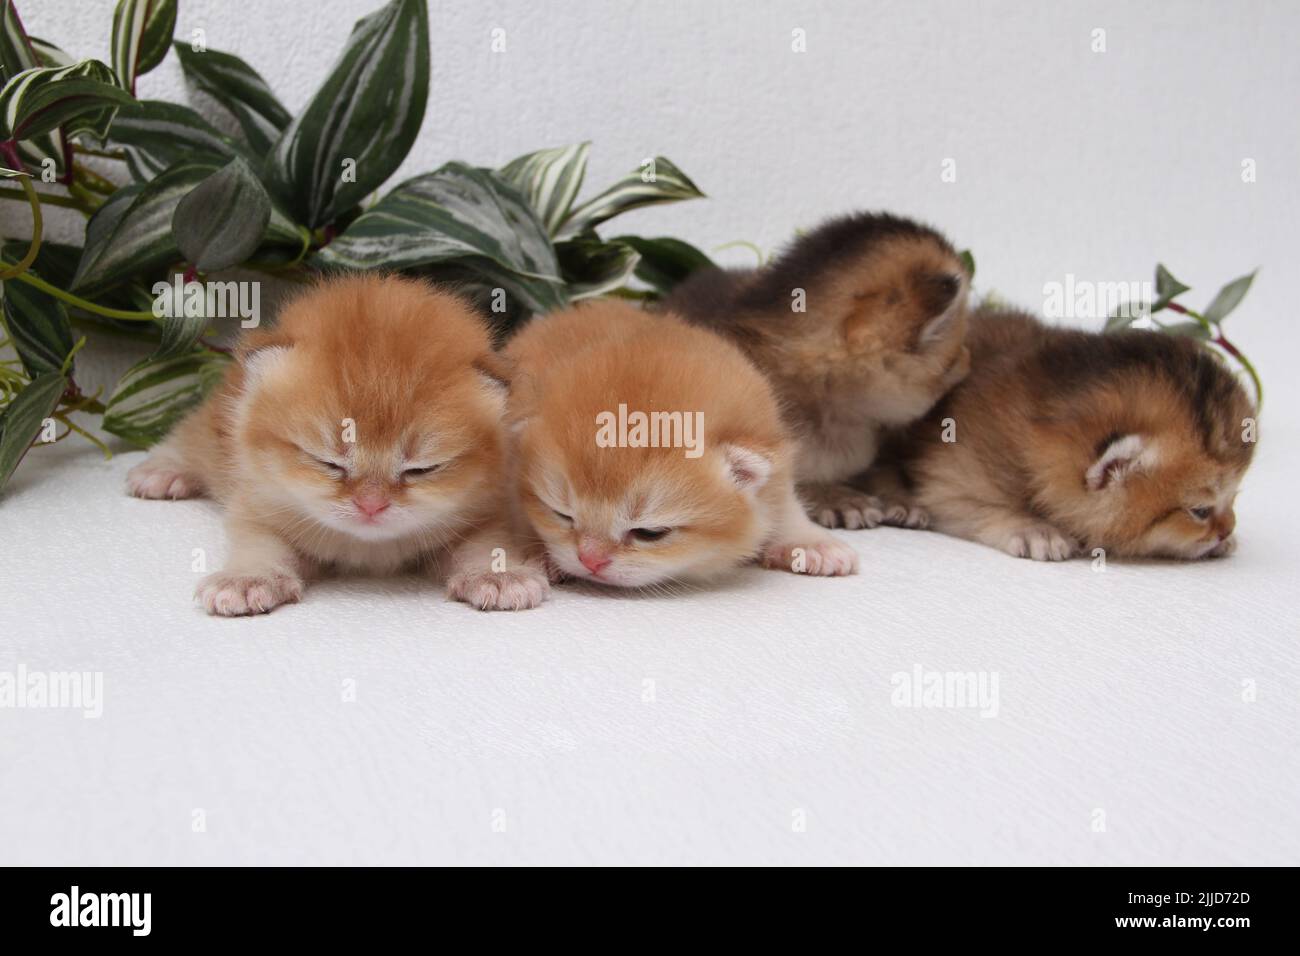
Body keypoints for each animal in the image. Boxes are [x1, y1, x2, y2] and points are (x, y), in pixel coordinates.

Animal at [124, 273, 546, 613]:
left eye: (422, 469)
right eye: (328, 462)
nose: (371, 505)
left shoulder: (485, 513)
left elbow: (485, 544)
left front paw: (497, 575)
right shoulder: (257, 505)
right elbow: (260, 545)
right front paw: (248, 579)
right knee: (188, 437)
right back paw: (161, 472)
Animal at [504, 299, 863, 587]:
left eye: (650, 533)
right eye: (561, 515)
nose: (590, 560)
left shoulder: (775, 464)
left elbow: (784, 505)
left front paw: (810, 542)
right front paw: (536, 552)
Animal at [873, 306, 1258, 561]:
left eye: (1233, 499)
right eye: (1200, 511)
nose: (1228, 528)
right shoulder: (950, 478)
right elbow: (973, 506)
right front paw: (1034, 529)